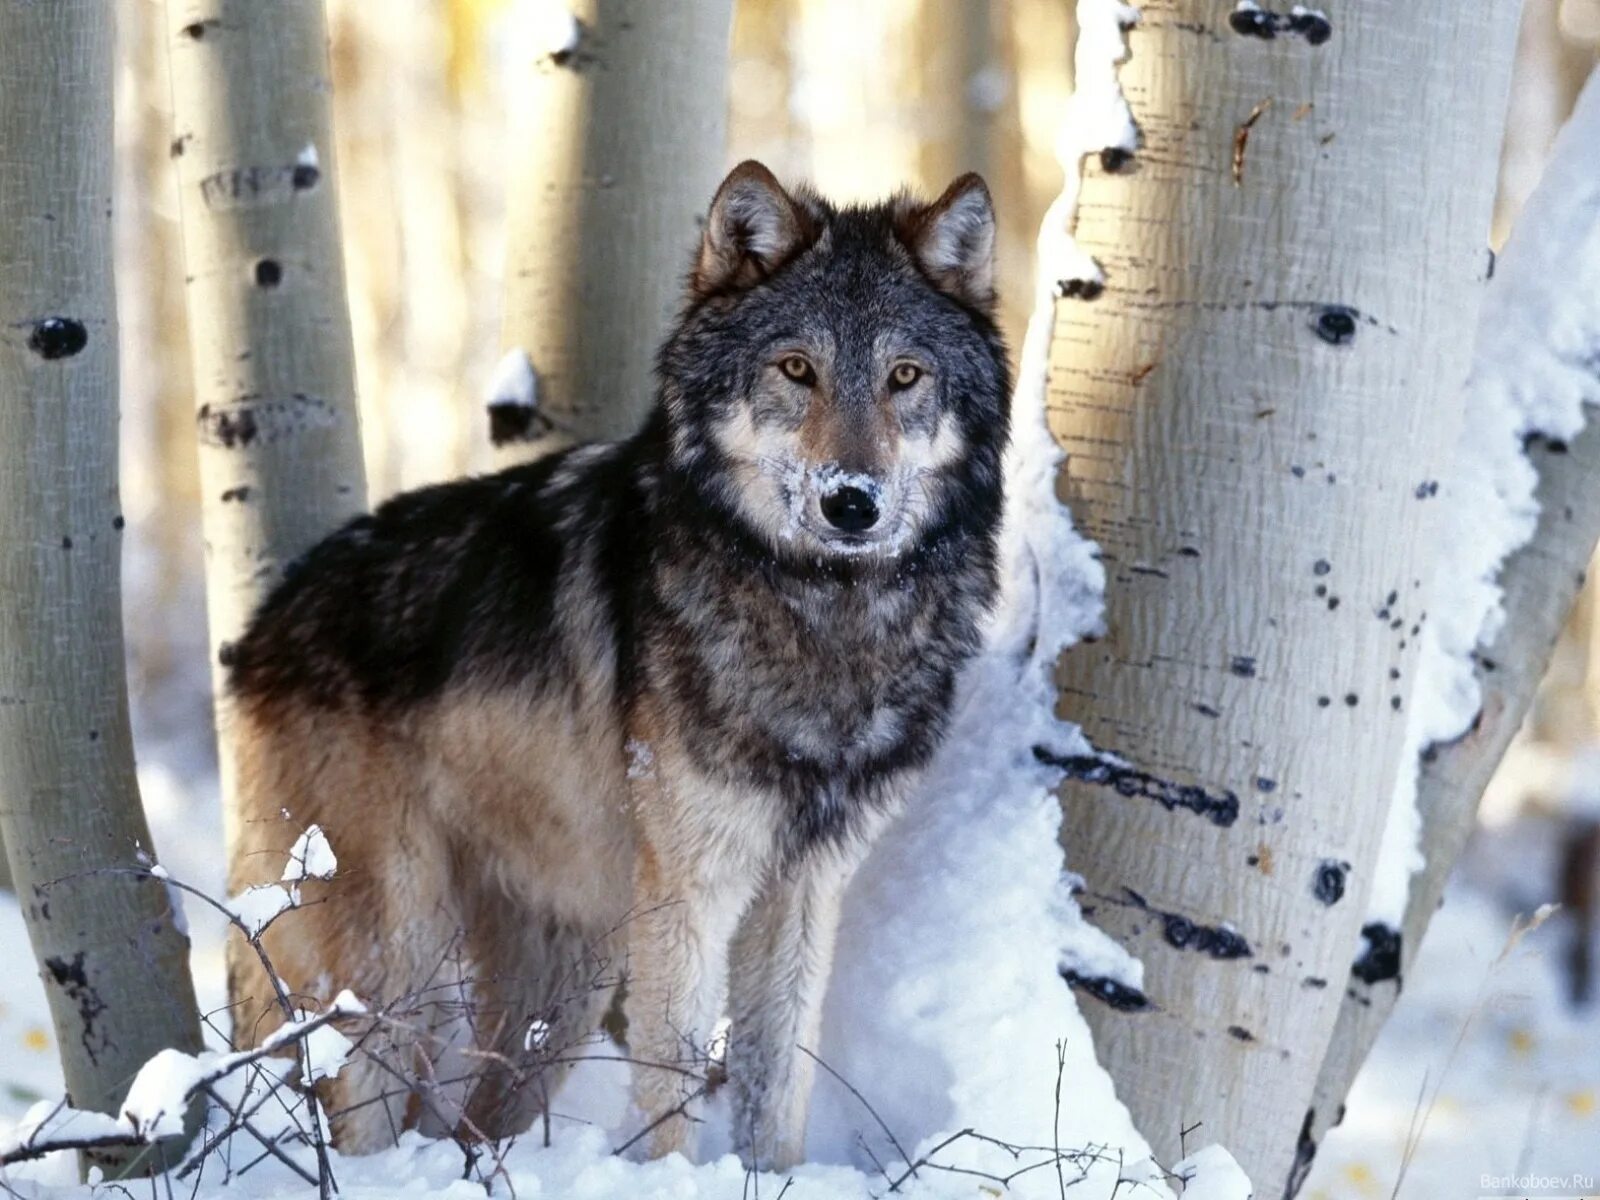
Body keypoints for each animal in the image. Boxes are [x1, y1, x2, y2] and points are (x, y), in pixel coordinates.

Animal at [224, 160, 1004, 1177]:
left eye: (904, 376)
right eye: (797, 368)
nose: (852, 503)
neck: (824, 615)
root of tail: (259, 629)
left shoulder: (803, 893)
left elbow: (775, 1094)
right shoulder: (690, 894)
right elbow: (669, 1093)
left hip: (565, 981)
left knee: (471, 1123)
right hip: (400, 960)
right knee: (358, 1113)